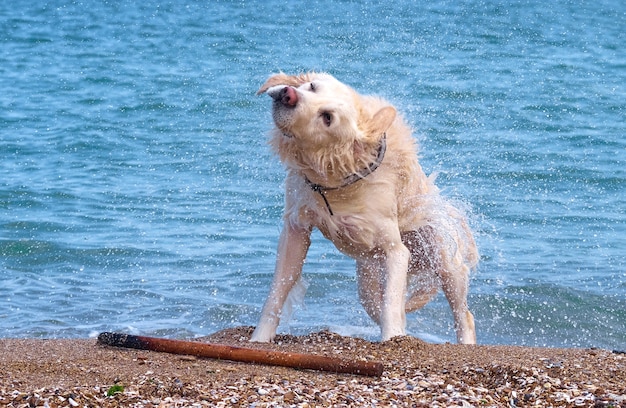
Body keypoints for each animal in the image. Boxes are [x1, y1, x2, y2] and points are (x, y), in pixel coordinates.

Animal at [250, 71, 478, 342]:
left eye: (327, 117)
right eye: (312, 86)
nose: (288, 94)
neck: (336, 177)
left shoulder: (395, 250)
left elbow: (391, 304)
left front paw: (391, 339)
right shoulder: (296, 229)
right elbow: (278, 291)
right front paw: (259, 339)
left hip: (443, 258)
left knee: (463, 314)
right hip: (367, 274)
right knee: (378, 303)